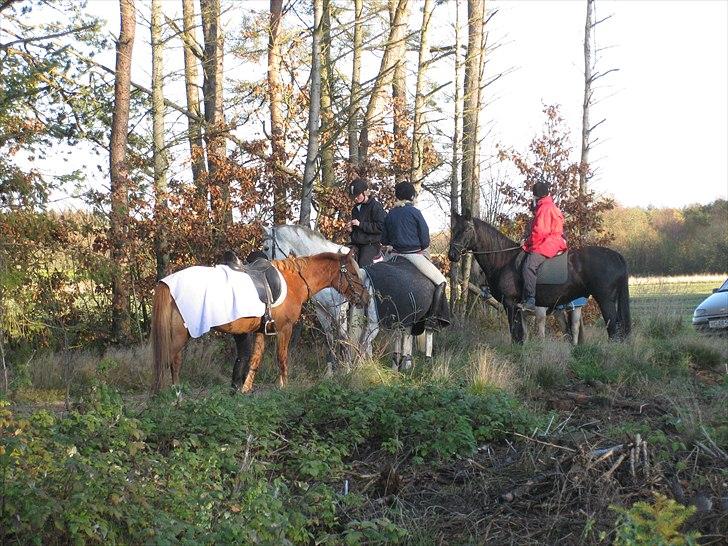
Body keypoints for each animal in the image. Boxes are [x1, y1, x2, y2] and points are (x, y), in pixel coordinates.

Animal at [154, 251, 370, 392]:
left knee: (173, 362)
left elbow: (254, 360)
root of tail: (168, 283)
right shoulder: (285, 329)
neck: (294, 281)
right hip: (180, 335)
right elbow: (282, 358)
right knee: (168, 361)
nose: (365, 298)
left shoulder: (260, 331)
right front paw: (283, 387)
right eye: (353, 273)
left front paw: (245, 389)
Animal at [446, 211, 628, 340]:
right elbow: (522, 336)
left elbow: (516, 336)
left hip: (605, 301)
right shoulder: (520, 311)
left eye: (467, 229)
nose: (452, 255)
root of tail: (616, 255)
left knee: (613, 332)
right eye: (453, 229)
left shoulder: (511, 305)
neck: (504, 260)